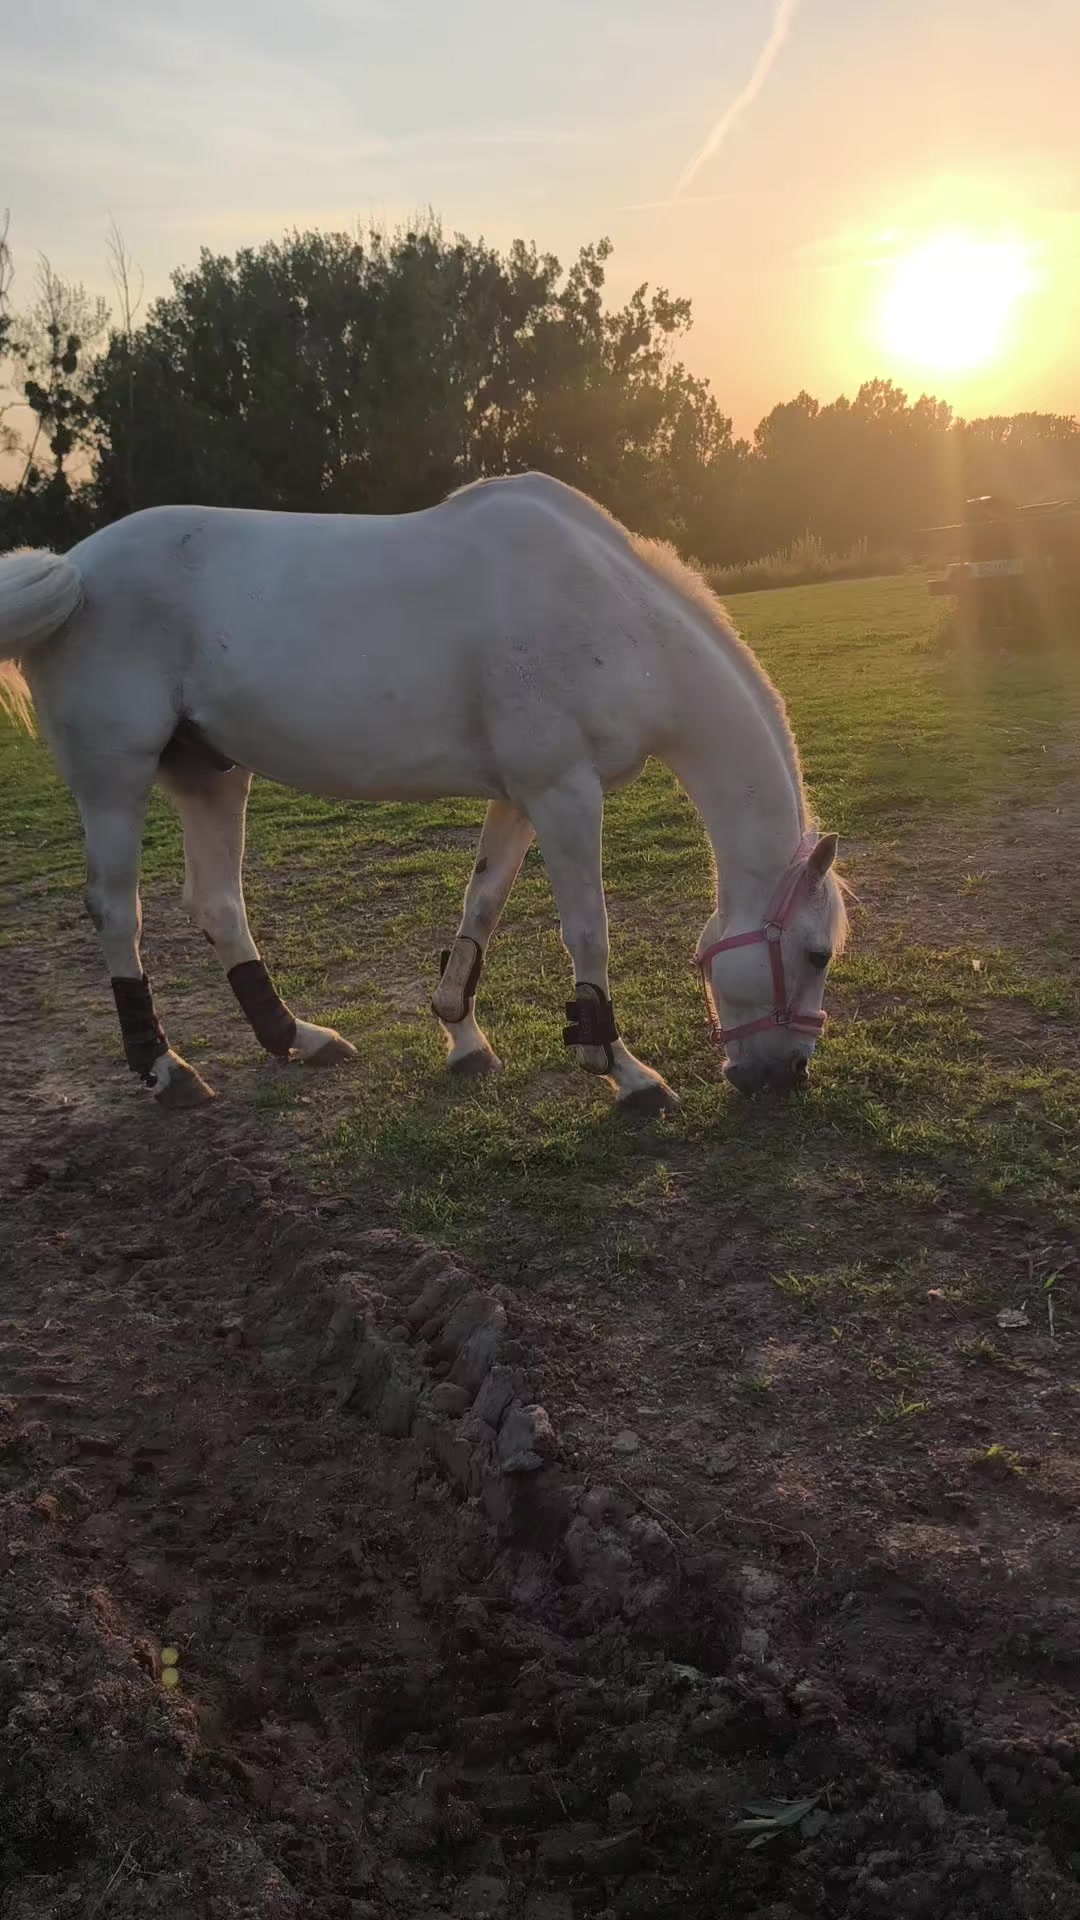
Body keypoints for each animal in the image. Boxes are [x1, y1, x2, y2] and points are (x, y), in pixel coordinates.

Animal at [0, 473, 847, 1111]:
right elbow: (588, 933)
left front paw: (462, 1037)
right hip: (115, 777)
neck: (611, 609)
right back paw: (166, 1070)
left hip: (211, 776)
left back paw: (296, 1039)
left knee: (217, 906)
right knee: (117, 912)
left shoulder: (524, 797)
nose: (786, 1074)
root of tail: (75, 569)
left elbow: (482, 906)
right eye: (816, 953)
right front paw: (625, 1074)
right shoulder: (565, 794)